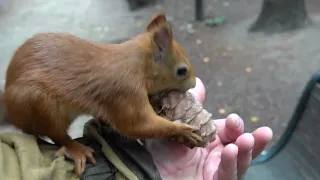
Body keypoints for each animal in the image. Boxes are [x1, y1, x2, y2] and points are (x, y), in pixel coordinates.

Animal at [3, 13, 204, 176]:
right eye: (181, 71)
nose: (193, 84)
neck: (136, 64)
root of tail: (10, 112)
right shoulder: (124, 92)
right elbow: (136, 125)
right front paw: (182, 130)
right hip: (39, 105)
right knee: (58, 135)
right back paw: (76, 149)